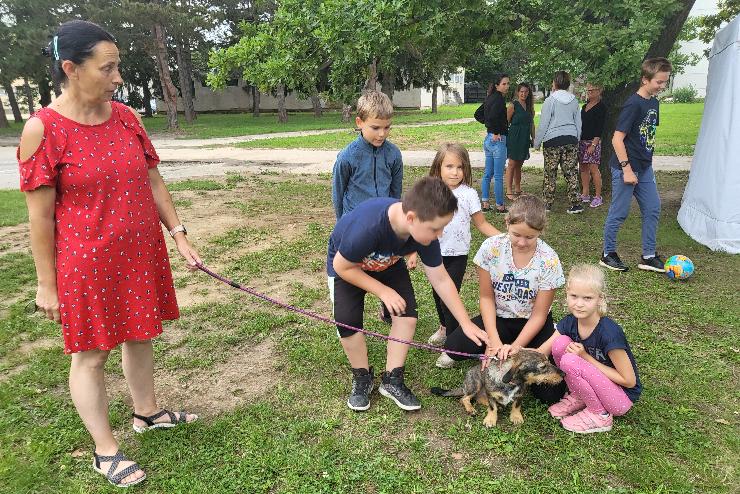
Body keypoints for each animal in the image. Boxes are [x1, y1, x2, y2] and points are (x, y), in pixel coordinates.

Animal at [430, 350, 564, 426]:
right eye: (543, 367)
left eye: (549, 361)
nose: (564, 374)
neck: (512, 383)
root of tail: (464, 386)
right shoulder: (491, 394)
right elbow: (492, 407)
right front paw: (490, 419)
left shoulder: (520, 394)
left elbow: (516, 405)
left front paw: (516, 417)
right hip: (476, 384)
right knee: (464, 398)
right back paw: (470, 409)